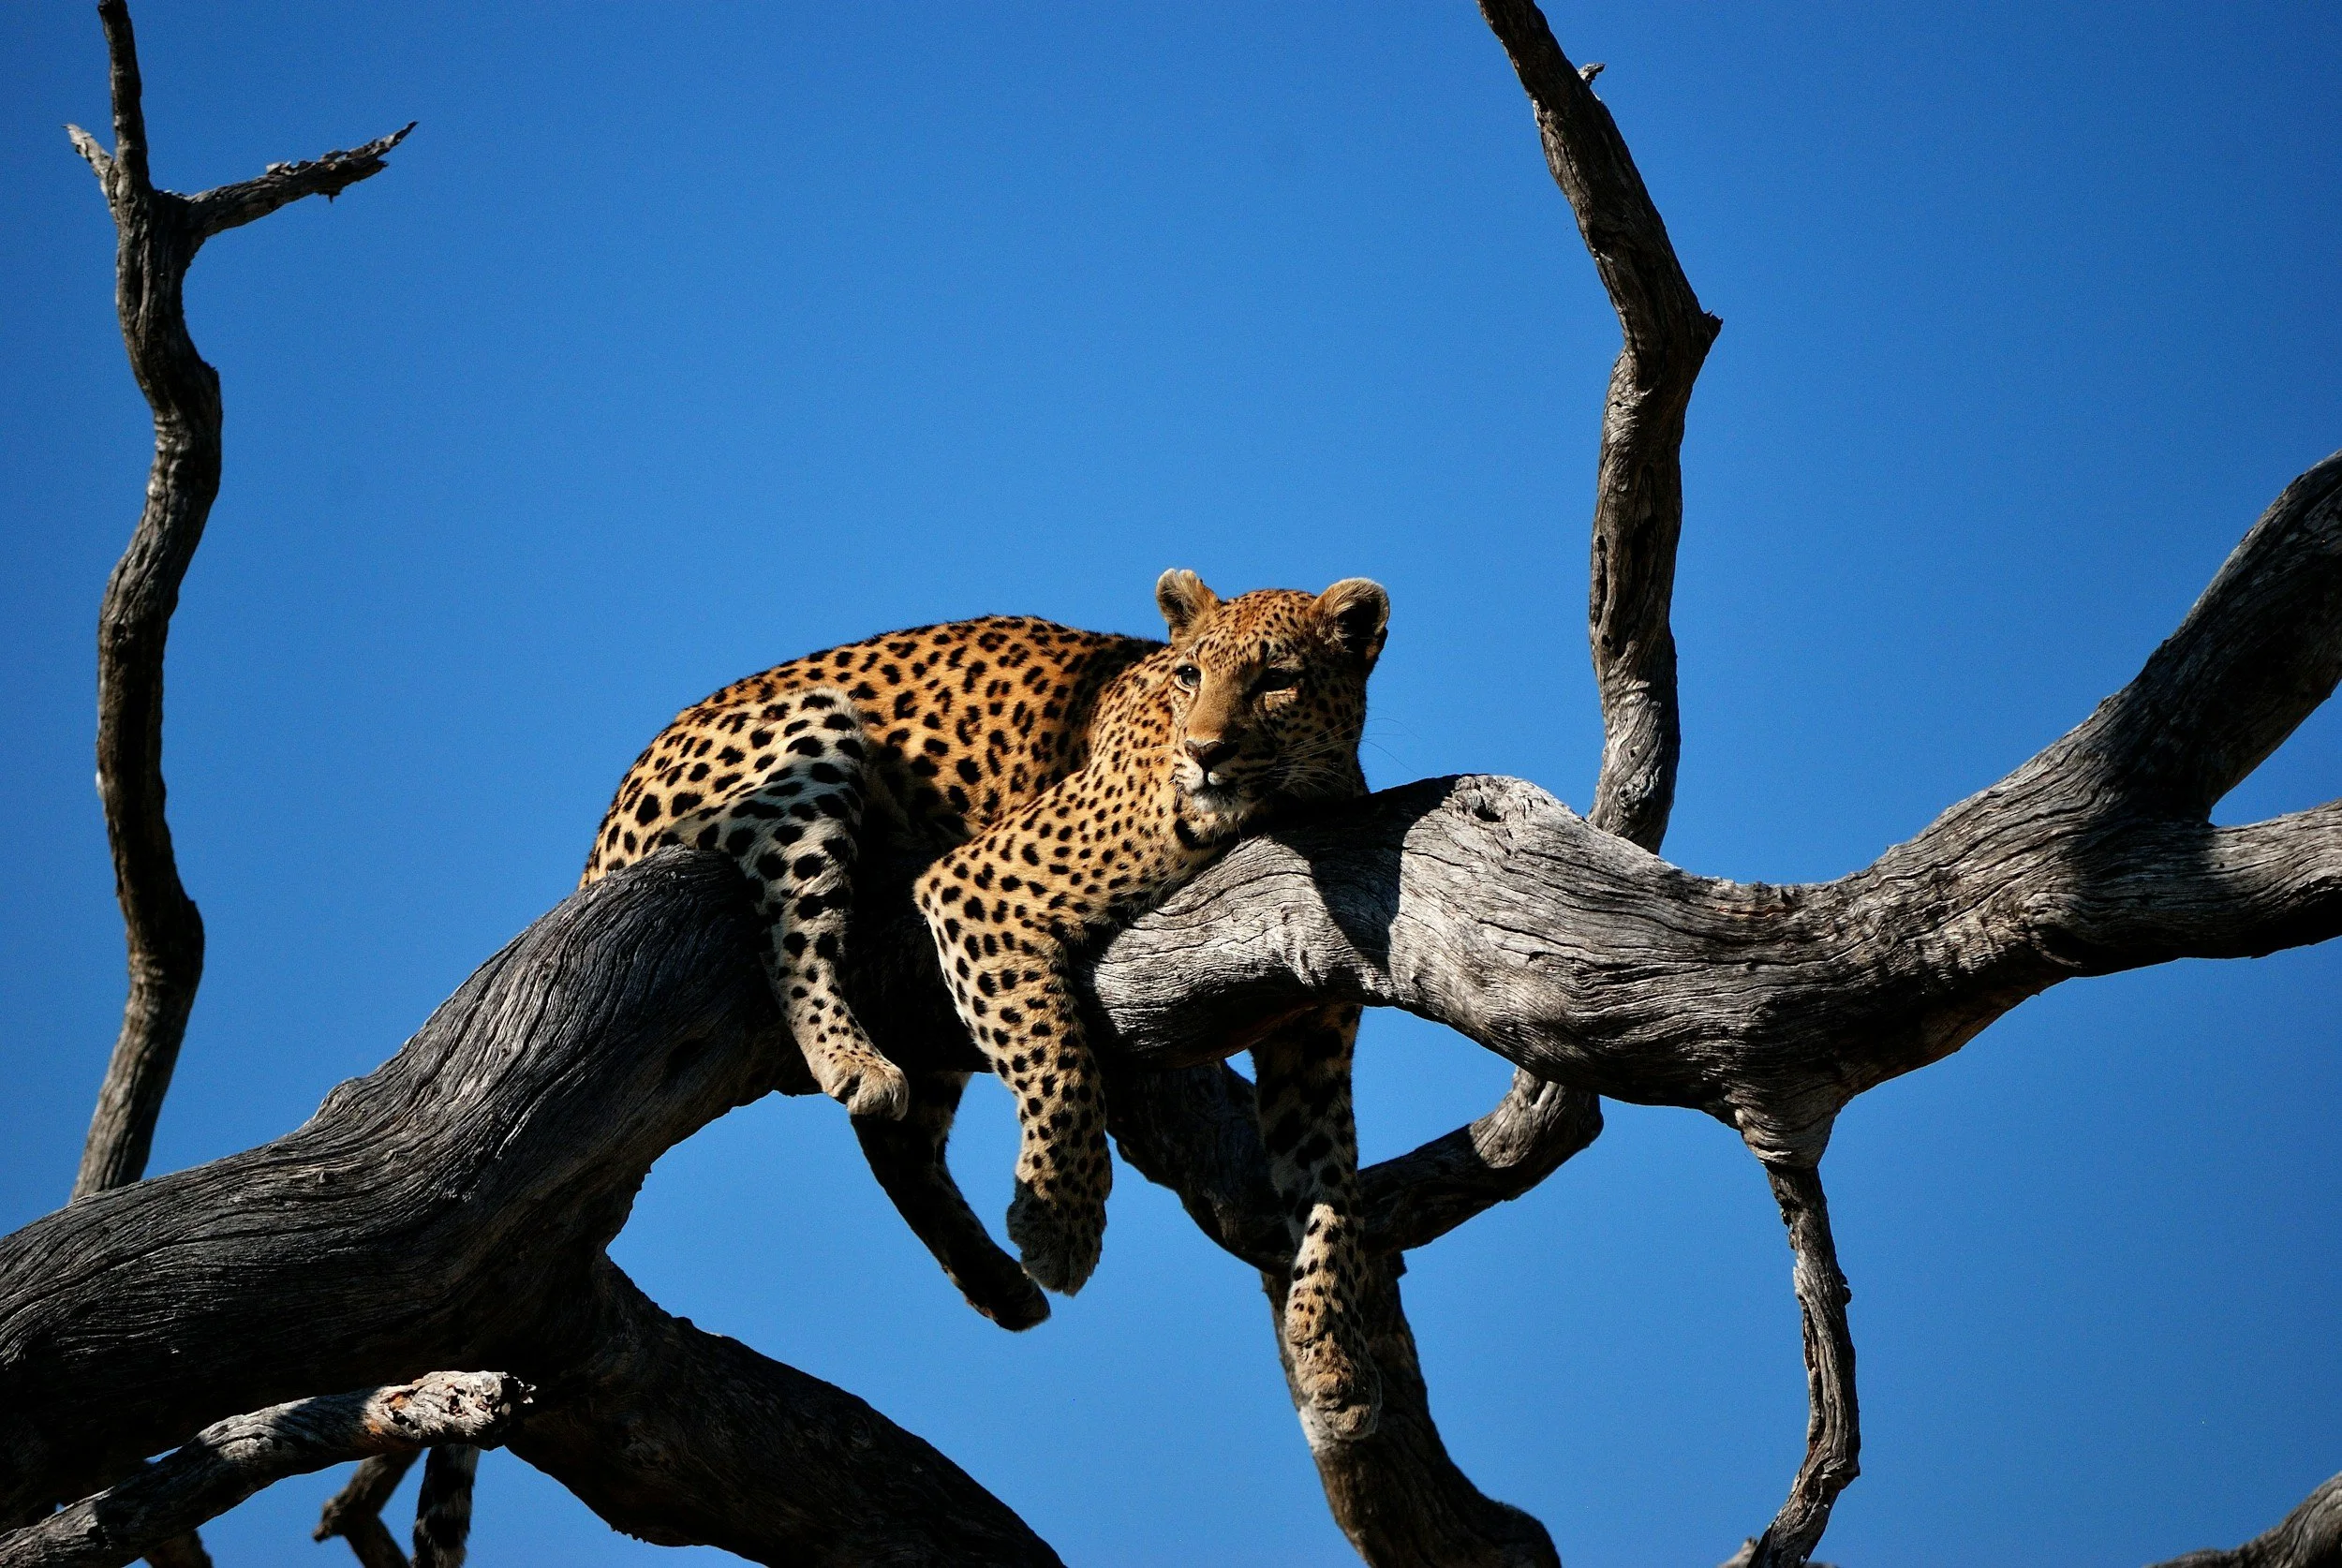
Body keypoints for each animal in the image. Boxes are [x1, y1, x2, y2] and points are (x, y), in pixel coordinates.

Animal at [581, 570, 1391, 1436]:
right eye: (1189, 675)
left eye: (1278, 680)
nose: (1205, 753)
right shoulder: (979, 887)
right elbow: (1058, 1058)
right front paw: (1061, 1226)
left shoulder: (1312, 1038)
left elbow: (1329, 1186)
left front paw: (1336, 1358)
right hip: (811, 733)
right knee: (792, 931)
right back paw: (852, 1059)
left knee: (898, 1142)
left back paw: (995, 1283)